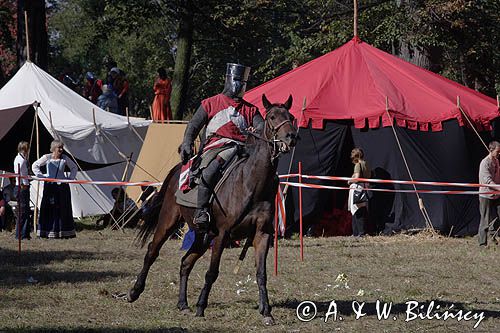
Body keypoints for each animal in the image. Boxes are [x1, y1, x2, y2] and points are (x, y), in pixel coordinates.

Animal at [127, 93, 296, 324]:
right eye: (271, 117)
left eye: (291, 117)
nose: (291, 137)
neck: (252, 182)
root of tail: (178, 169)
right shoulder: (223, 234)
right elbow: (212, 272)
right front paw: (201, 306)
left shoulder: (262, 235)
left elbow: (261, 273)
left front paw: (267, 312)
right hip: (169, 220)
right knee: (152, 252)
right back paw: (134, 292)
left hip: (202, 235)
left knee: (185, 262)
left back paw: (183, 304)